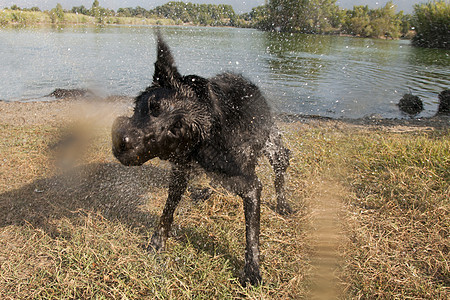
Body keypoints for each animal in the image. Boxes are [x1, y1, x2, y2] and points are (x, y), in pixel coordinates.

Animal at [110, 32, 290, 286]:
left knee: (280, 166)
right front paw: (157, 242)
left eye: (176, 129)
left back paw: (283, 203)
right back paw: (206, 191)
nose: (123, 141)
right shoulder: (181, 170)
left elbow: (252, 234)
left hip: (272, 146)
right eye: (153, 105)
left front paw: (252, 270)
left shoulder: (250, 184)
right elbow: (168, 211)